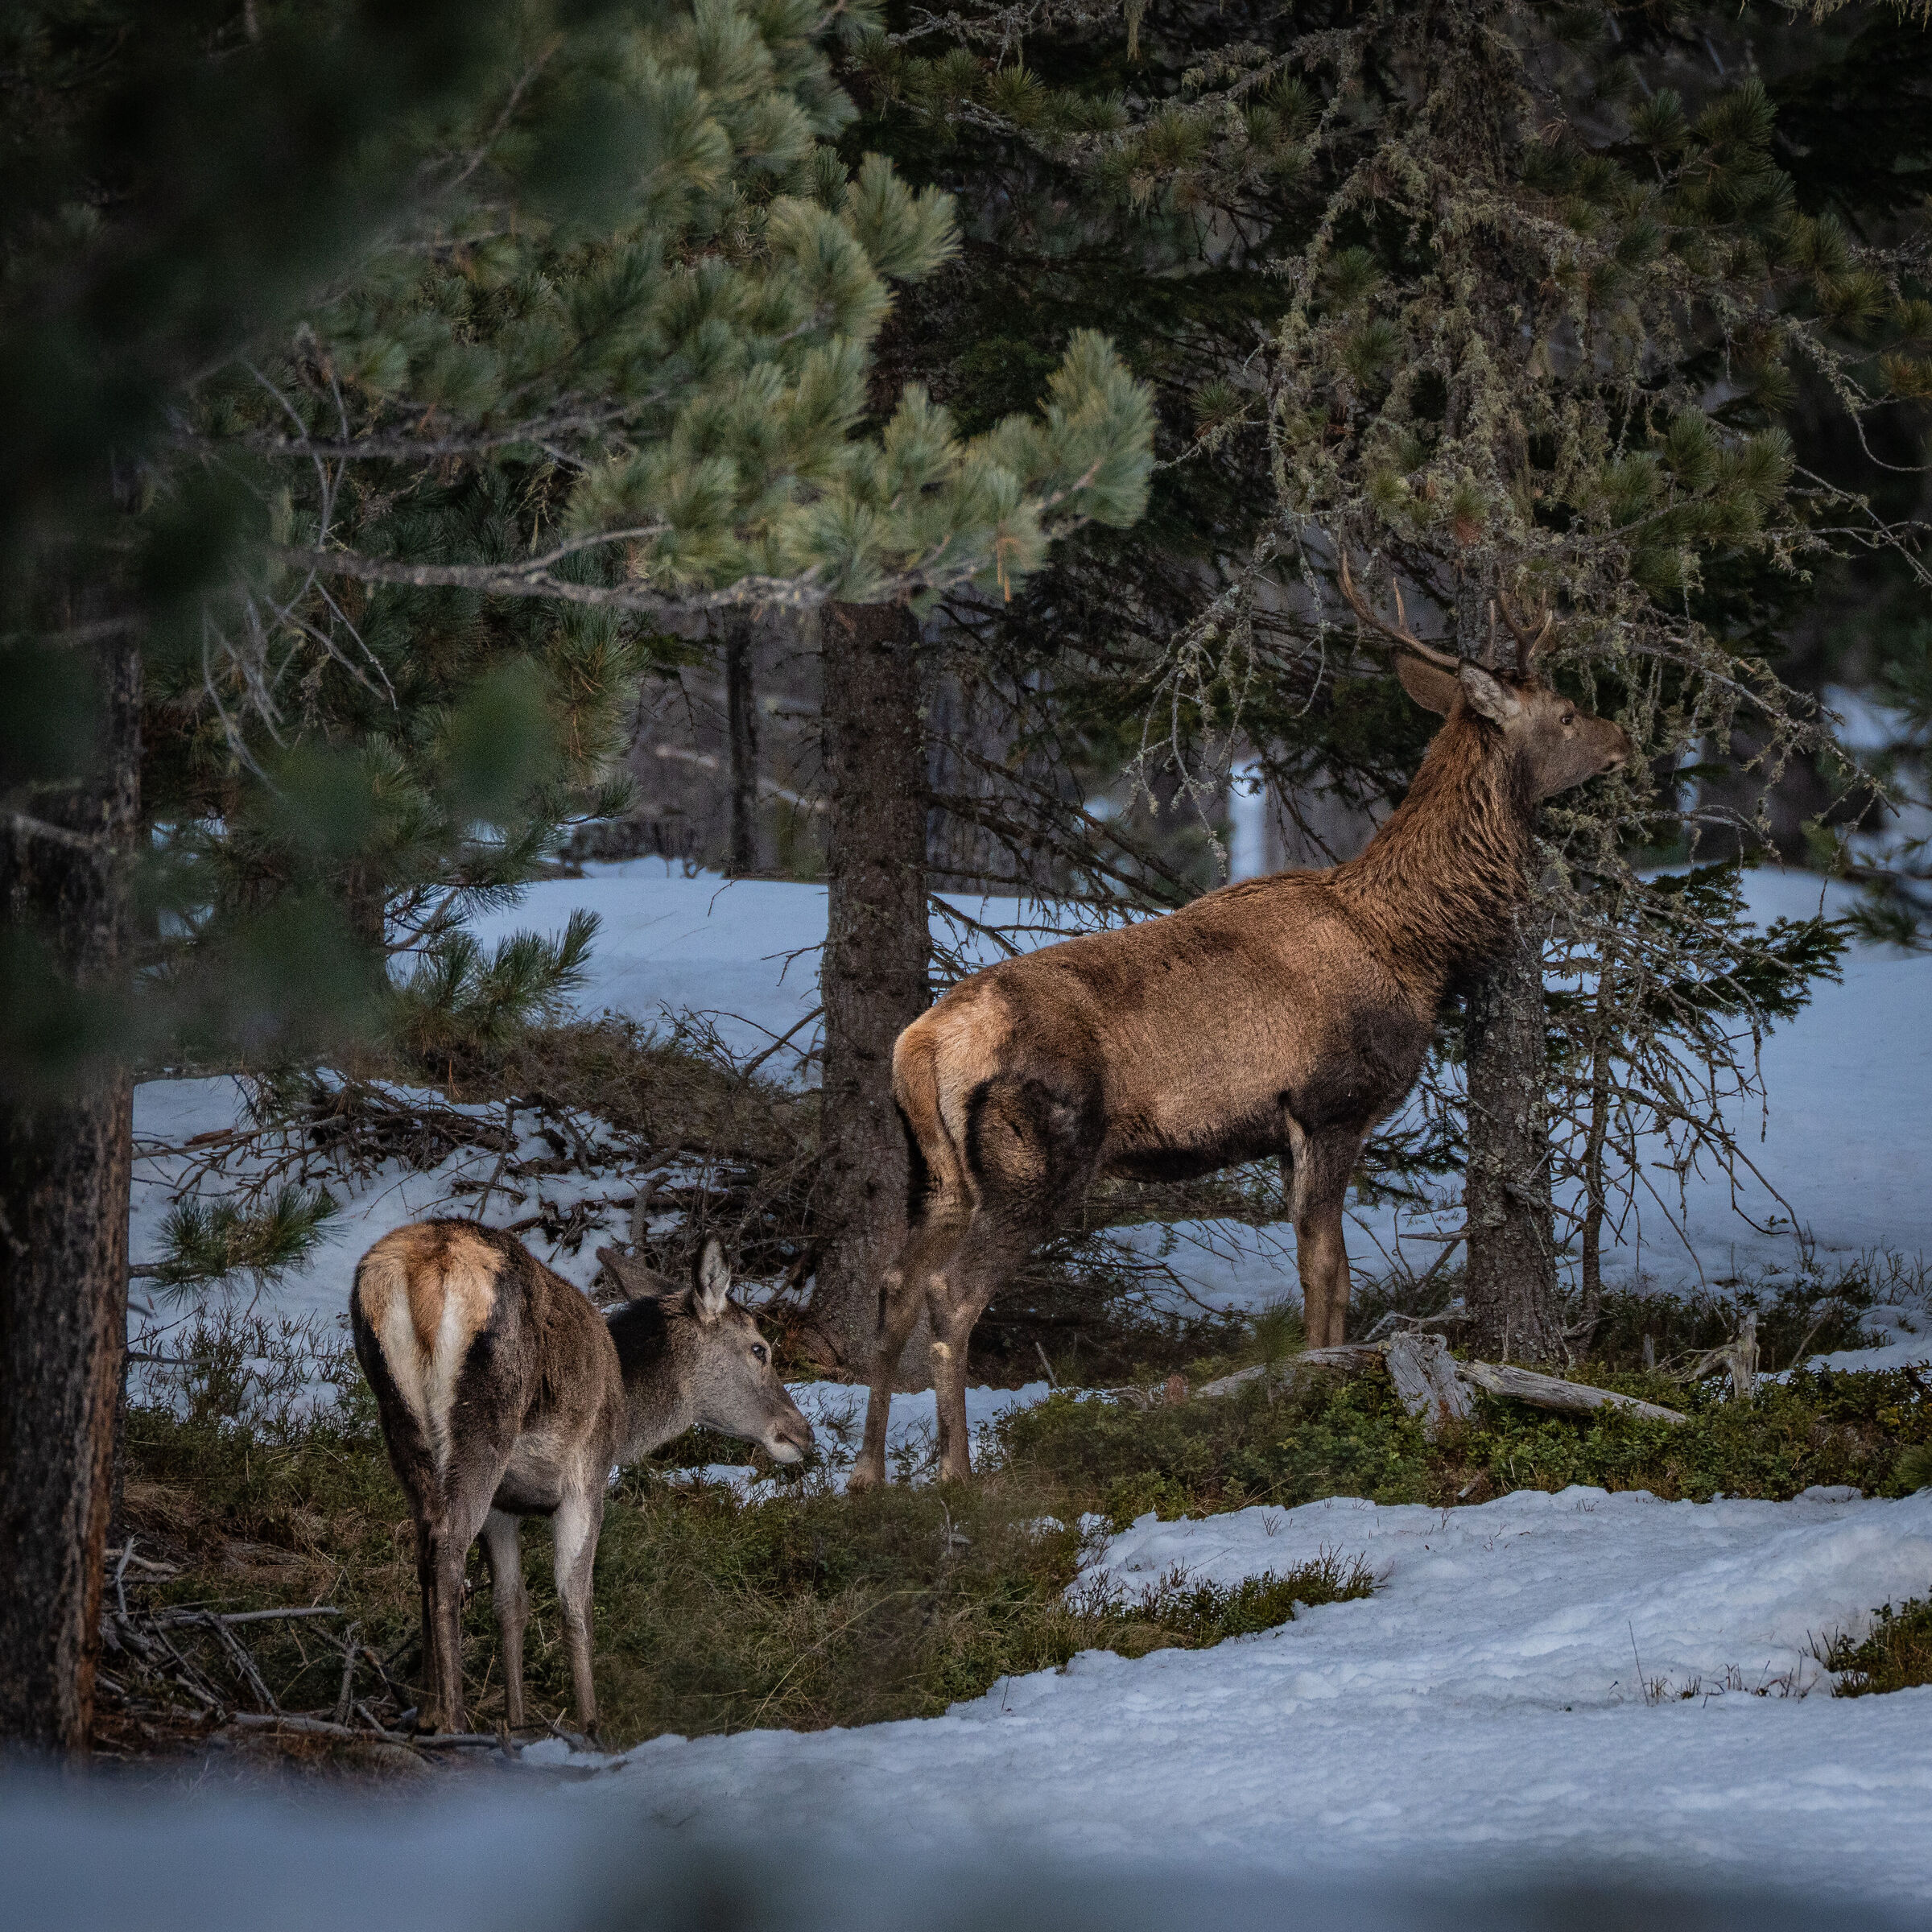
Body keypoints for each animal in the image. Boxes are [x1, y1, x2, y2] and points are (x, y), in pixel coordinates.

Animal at [351, 1219, 813, 1738]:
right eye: (760, 1349)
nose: (802, 1433)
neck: (626, 1416)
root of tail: (422, 1268)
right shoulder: (586, 1479)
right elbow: (576, 1601)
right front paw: (591, 1725)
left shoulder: (503, 1507)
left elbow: (510, 1604)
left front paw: (517, 1721)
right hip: (483, 1422)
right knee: (448, 1548)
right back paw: (452, 1720)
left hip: (399, 1420)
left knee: (425, 1548)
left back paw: (428, 1713)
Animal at [848, 561, 1633, 1488]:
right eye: (1568, 713)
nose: (1625, 740)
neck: (1417, 946)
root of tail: (922, 1044)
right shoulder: (1332, 1105)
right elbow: (1329, 1271)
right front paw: (1323, 1377)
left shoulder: (1292, 1127)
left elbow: (1314, 1267)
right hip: (1034, 1158)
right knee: (951, 1294)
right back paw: (956, 1474)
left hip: (934, 1172)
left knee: (893, 1287)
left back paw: (865, 1478)